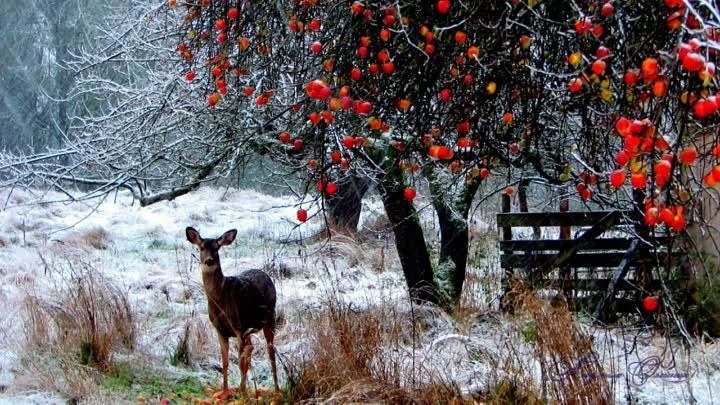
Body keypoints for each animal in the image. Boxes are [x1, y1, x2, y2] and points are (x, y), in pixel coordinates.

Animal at [184, 226, 280, 396]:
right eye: (201, 248)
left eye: (217, 248)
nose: (209, 261)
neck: (220, 299)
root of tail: (265, 274)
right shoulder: (220, 329)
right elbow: (225, 362)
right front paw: (225, 392)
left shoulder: (237, 326)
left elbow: (240, 362)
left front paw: (242, 394)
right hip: (249, 328)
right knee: (251, 347)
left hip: (269, 318)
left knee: (270, 352)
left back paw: (276, 389)